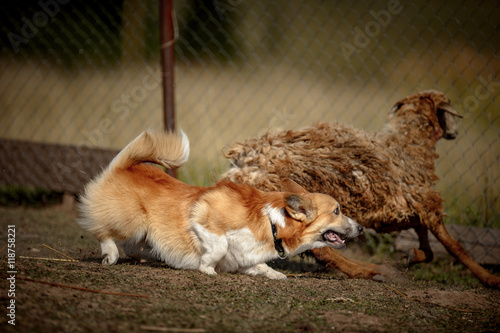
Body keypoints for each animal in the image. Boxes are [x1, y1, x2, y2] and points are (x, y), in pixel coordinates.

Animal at [78, 130, 362, 278]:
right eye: (337, 211)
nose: (360, 228)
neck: (272, 223)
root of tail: (125, 165)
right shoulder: (204, 218)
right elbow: (218, 246)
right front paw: (207, 268)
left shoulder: (247, 258)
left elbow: (260, 266)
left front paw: (275, 274)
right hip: (132, 221)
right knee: (103, 233)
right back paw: (110, 255)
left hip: (143, 231)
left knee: (132, 247)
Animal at [223, 89, 500, 286]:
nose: (455, 132)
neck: (408, 145)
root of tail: (241, 163)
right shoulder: (423, 204)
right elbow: (455, 246)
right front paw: (490, 279)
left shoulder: (407, 210)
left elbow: (428, 247)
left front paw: (410, 257)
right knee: (321, 248)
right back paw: (371, 271)